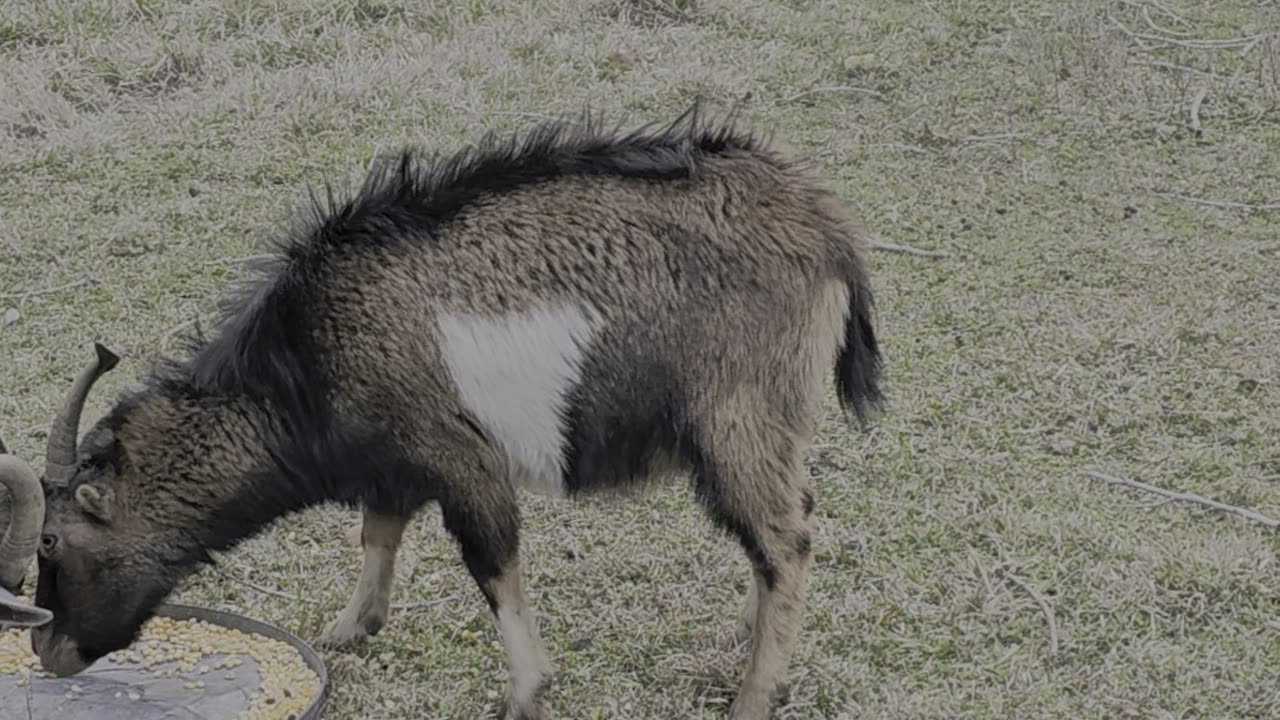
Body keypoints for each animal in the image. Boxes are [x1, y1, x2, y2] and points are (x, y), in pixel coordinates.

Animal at [27, 102, 880, 717]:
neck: (302, 363)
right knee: (782, 527)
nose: (48, 654)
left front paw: (525, 692)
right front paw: (350, 628)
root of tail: (827, 228)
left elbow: (492, 562)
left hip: (736, 416)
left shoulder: (459, 456)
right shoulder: (394, 460)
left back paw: (753, 694)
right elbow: (378, 531)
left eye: (51, 544)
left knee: (786, 539)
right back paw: (747, 635)